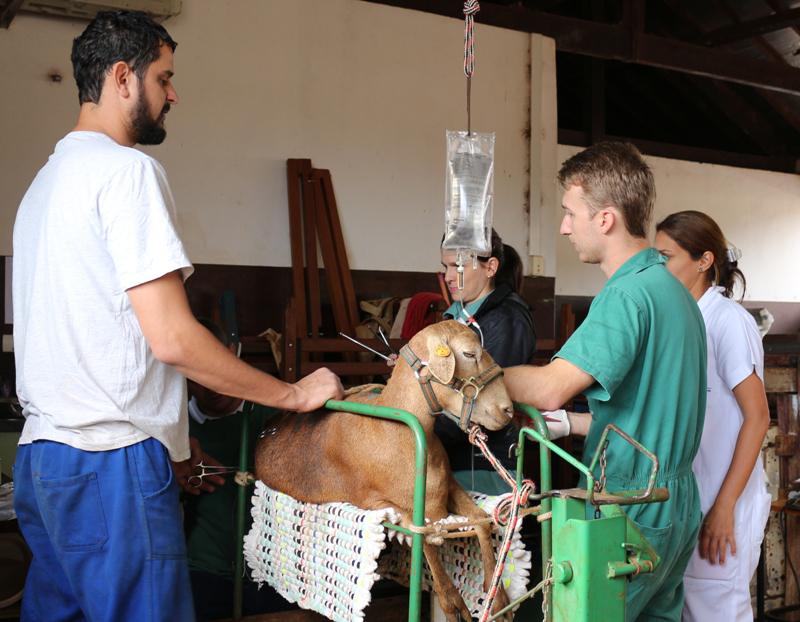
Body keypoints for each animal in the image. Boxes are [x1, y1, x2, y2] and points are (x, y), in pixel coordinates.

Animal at [260, 322, 516, 622]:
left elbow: (480, 519)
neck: (394, 430)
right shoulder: (381, 503)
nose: (508, 410)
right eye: (469, 353)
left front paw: (498, 598)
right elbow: (422, 534)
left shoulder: (449, 486)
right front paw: (452, 602)